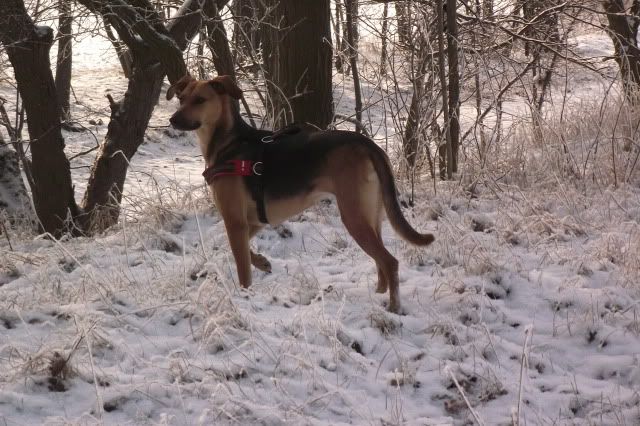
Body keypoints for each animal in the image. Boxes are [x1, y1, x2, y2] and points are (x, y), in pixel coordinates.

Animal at [167, 75, 434, 313]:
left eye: (200, 100)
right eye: (181, 98)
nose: (173, 119)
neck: (228, 143)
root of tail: (369, 145)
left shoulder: (235, 221)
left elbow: (242, 269)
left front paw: (244, 300)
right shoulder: (252, 221)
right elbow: (239, 248)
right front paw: (262, 262)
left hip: (354, 216)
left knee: (389, 261)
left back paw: (393, 307)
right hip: (371, 214)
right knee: (380, 263)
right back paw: (378, 296)